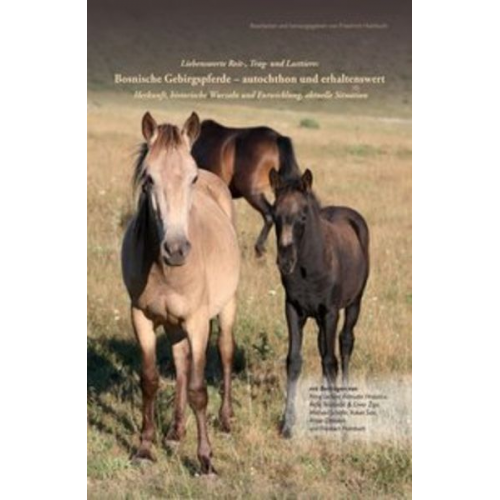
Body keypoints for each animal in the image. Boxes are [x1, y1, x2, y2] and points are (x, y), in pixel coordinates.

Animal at [122, 111, 241, 474]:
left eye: (191, 178)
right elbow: (150, 380)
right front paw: (145, 448)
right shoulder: (141, 317)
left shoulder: (198, 322)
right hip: (174, 325)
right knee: (180, 361)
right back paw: (175, 430)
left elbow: (199, 389)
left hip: (226, 308)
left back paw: (226, 419)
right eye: (148, 179)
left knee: (226, 352)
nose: (176, 250)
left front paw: (205, 460)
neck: (165, 273)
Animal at [270, 168, 372, 438]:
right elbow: (294, 361)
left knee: (345, 343)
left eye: (303, 217)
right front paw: (287, 425)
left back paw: (343, 396)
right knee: (322, 346)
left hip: (354, 303)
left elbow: (330, 360)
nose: (285, 262)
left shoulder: (330, 312)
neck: (311, 267)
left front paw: (336, 423)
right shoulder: (293, 309)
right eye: (274, 215)